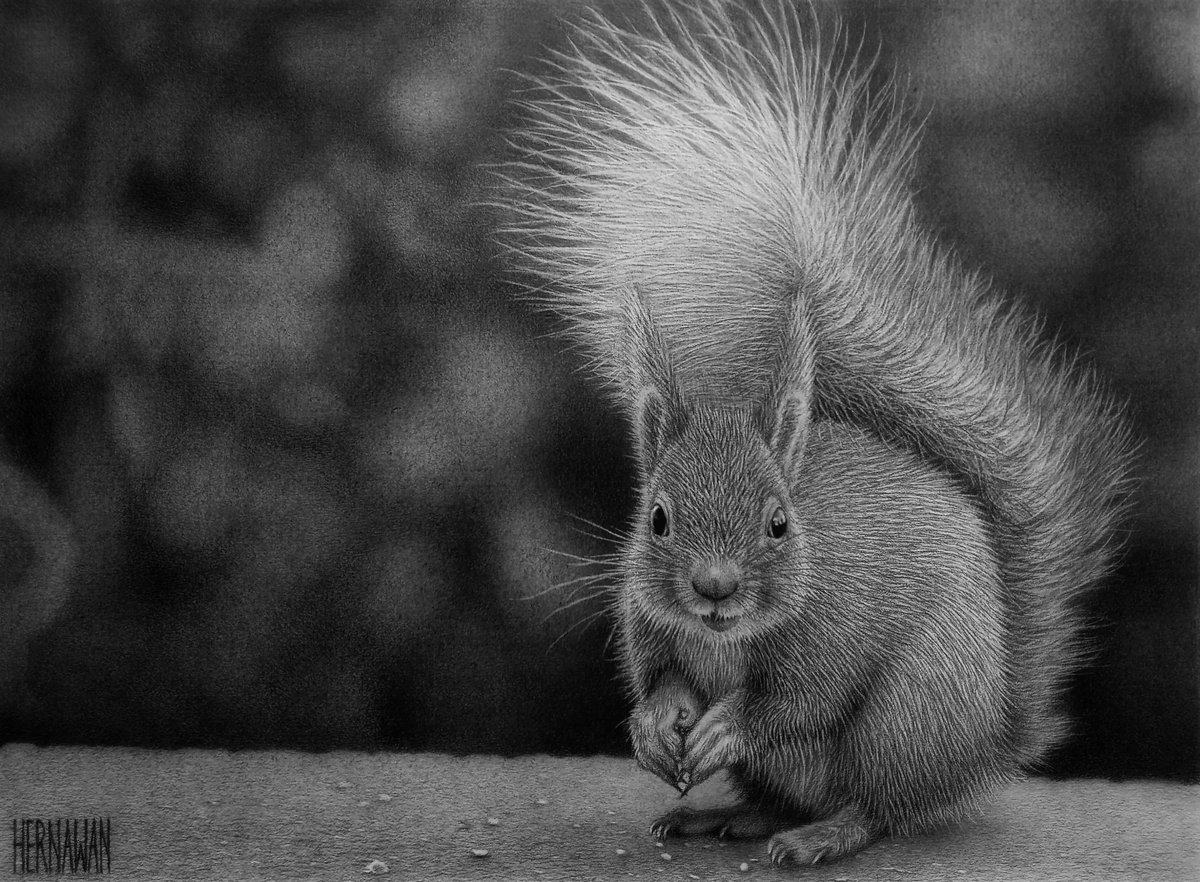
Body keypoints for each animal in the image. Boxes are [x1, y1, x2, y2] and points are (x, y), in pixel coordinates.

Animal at [498, 0, 1135, 867]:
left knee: (875, 805)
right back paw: (728, 816)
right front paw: (654, 725)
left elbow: (796, 700)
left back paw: (821, 834)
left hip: (905, 715)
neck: (728, 638)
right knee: (785, 796)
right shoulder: (647, 620)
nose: (715, 587)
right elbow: (657, 677)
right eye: (655, 518)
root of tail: (986, 742)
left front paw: (727, 723)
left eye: (779, 523)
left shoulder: (832, 634)